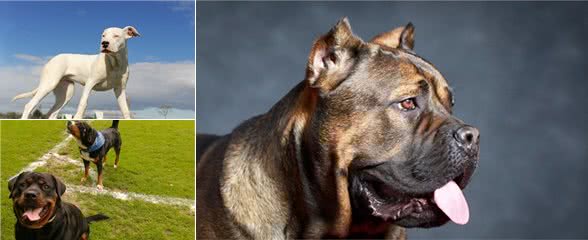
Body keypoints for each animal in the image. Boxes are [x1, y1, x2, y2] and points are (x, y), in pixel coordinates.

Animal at [12, 25, 141, 118]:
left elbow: (125, 110)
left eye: (116, 36)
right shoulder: (90, 83)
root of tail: (51, 59)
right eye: (103, 36)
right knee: (29, 105)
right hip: (48, 84)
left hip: (65, 94)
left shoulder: (120, 89)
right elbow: (83, 103)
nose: (104, 43)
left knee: (51, 114)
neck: (114, 63)